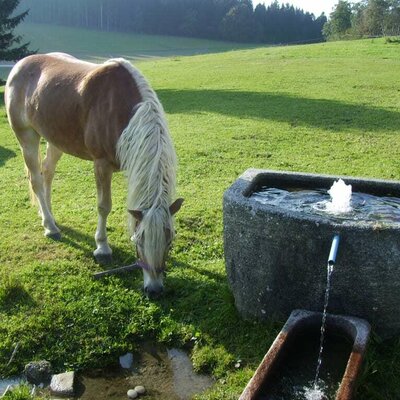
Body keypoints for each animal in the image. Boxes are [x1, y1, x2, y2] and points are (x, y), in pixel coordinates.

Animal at [5, 53, 183, 296]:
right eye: (138, 241)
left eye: (170, 240)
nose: (154, 289)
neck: (123, 113)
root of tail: (20, 65)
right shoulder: (101, 164)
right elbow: (103, 206)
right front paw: (102, 247)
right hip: (27, 137)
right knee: (36, 180)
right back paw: (50, 227)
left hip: (55, 139)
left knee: (47, 172)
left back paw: (47, 215)